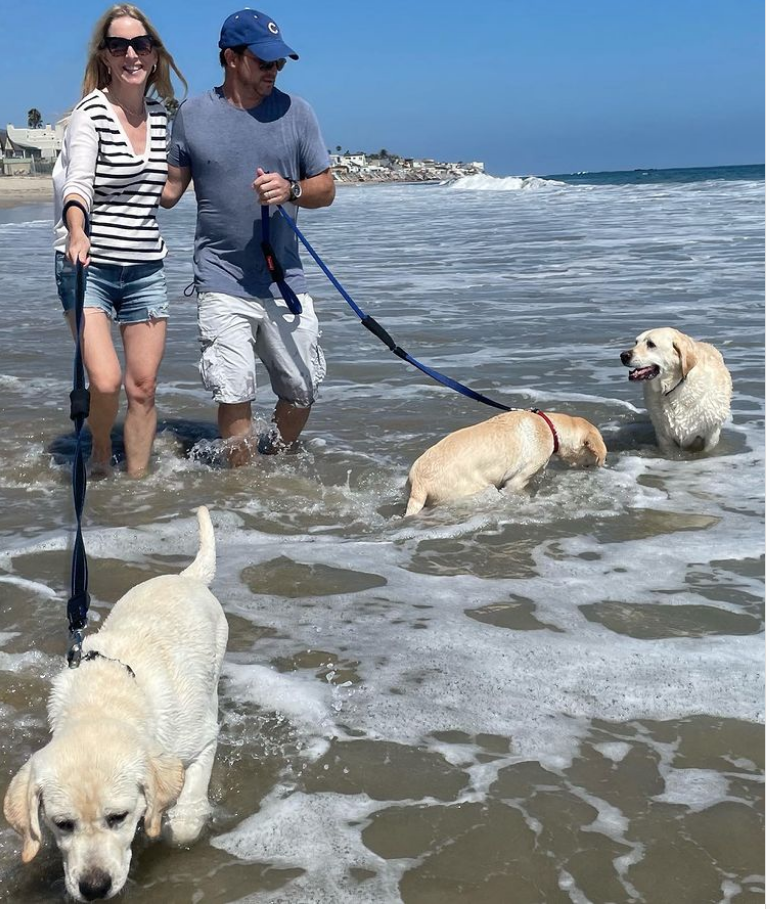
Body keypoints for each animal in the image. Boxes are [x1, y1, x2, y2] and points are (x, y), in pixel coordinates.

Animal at [4, 507, 228, 902]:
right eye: (62, 824)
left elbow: (187, 809)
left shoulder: (201, 740)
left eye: (118, 817)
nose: (94, 888)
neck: (103, 701)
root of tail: (186, 578)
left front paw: (179, 820)